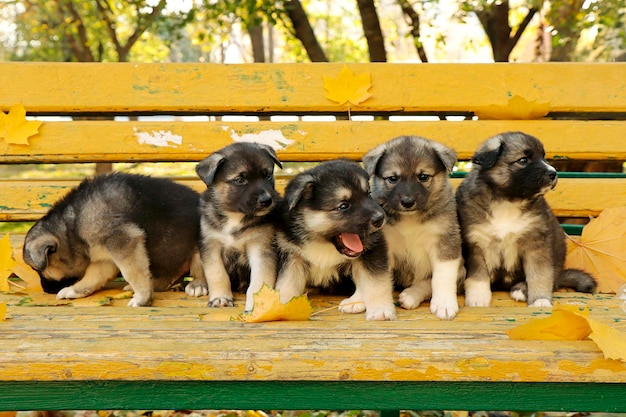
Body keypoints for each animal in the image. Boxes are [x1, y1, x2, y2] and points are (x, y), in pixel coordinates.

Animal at [22, 172, 201, 306]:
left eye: (38, 270)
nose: (45, 290)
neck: (72, 227)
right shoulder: (104, 257)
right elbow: (93, 276)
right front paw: (75, 289)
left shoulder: (124, 241)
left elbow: (133, 272)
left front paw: (142, 298)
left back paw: (197, 286)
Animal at [184, 141, 282, 310]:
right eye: (240, 180)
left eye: (268, 176)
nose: (267, 200)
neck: (235, 216)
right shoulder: (211, 245)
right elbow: (216, 274)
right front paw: (220, 298)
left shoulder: (260, 247)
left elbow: (260, 280)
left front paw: (257, 305)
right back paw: (198, 284)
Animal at [274, 158, 394, 318]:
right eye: (343, 206)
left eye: (368, 194)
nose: (380, 218)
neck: (323, 243)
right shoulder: (292, 256)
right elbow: (286, 283)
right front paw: (279, 307)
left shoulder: (373, 250)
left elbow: (374, 282)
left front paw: (381, 310)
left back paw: (355, 301)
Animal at [360, 135, 464, 320]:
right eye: (392, 178)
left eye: (423, 176)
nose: (407, 202)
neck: (411, 219)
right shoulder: (383, 247)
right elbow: (374, 278)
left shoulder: (446, 242)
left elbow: (442, 277)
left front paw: (444, 304)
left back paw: (411, 296)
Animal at [454, 132, 596, 308]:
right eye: (523, 160)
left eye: (544, 157)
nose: (553, 173)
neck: (507, 201)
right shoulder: (476, 244)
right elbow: (478, 275)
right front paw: (478, 298)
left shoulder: (536, 244)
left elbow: (540, 274)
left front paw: (540, 300)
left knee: (552, 280)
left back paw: (521, 289)